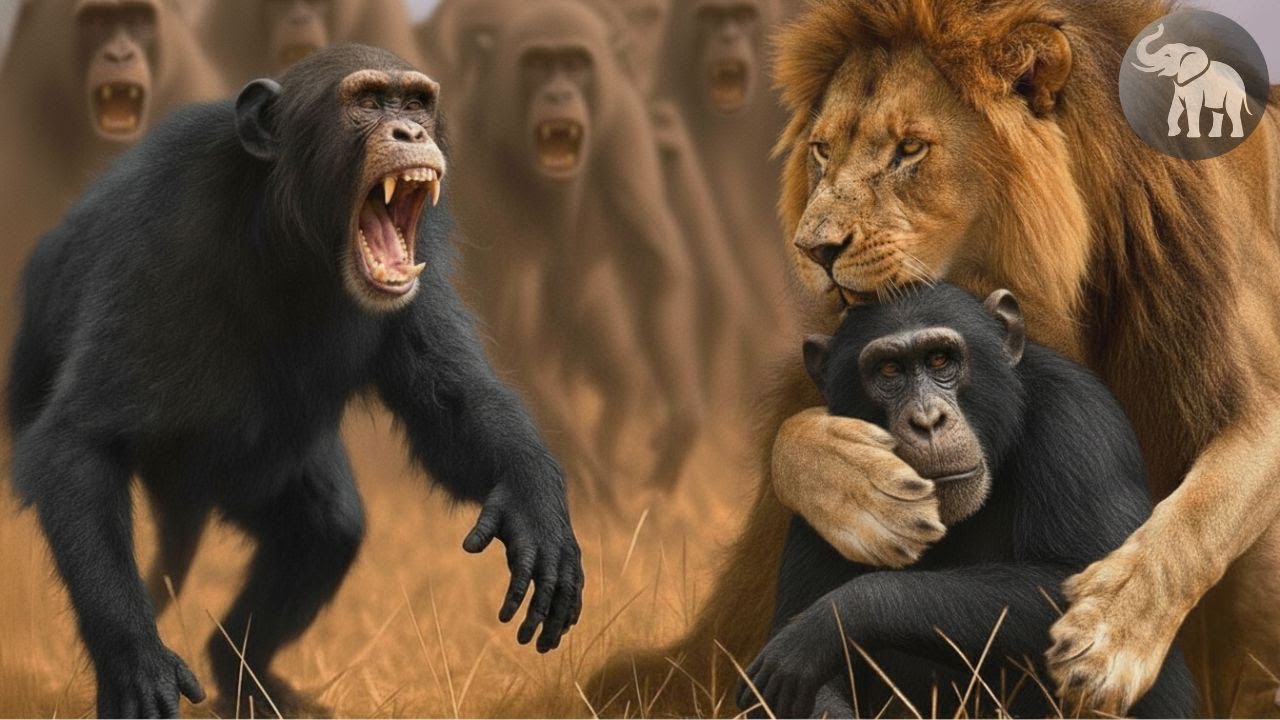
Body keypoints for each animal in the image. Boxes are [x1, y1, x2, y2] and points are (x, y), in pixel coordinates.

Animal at [584, 0, 1280, 716]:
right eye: (822, 151)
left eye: (909, 149)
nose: (813, 249)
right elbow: (794, 431)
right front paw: (862, 494)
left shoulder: (1252, 390)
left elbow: (1196, 520)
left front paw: (1108, 635)